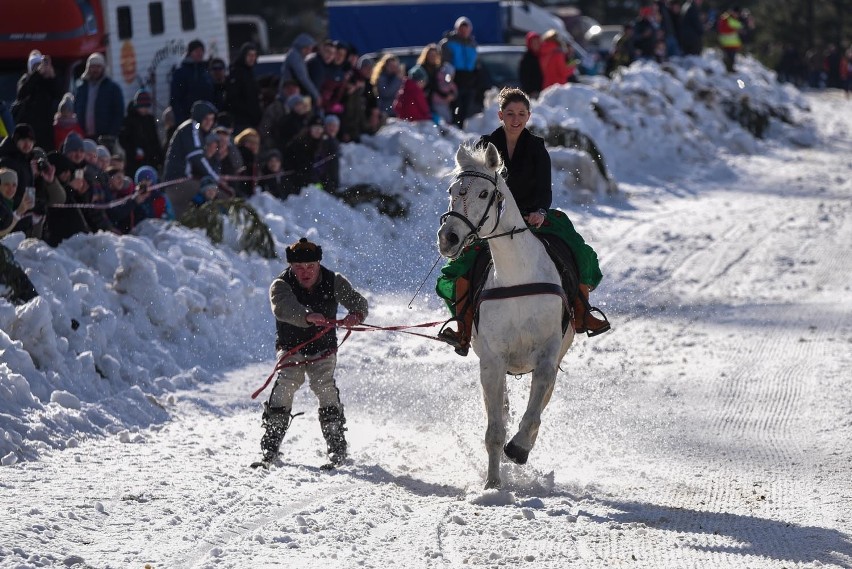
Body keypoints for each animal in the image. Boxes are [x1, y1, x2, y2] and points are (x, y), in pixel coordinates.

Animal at [436, 142, 576, 488]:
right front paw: (493, 483)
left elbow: (534, 413)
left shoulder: (547, 357)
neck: (517, 278)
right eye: (451, 191)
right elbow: (495, 430)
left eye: (485, 193)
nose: (448, 238)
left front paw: (519, 448)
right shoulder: (492, 362)